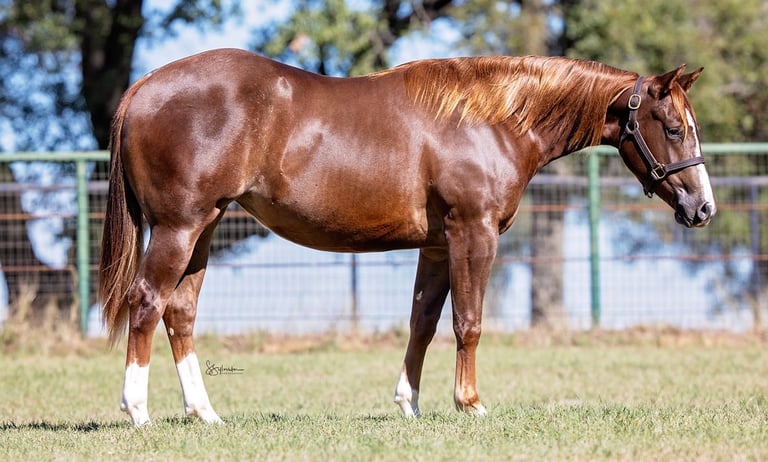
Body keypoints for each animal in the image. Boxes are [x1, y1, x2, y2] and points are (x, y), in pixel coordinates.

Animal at [99, 48, 715, 426]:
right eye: (674, 127)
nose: (702, 207)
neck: (489, 120)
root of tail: (143, 89)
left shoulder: (438, 244)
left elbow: (423, 322)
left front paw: (409, 404)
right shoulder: (473, 233)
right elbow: (468, 322)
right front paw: (470, 404)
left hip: (204, 228)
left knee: (180, 312)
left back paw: (204, 413)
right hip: (179, 228)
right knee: (146, 302)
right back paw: (137, 410)